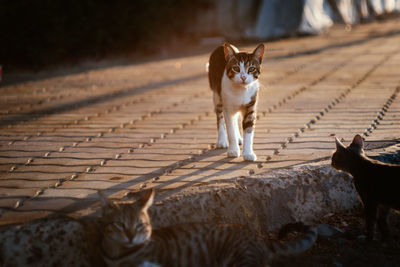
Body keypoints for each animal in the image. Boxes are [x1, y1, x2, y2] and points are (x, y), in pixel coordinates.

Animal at [98, 189, 318, 266]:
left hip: (240, 259)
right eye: (120, 225)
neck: (119, 256)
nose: (131, 236)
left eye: (140, 225)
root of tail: (258, 237)